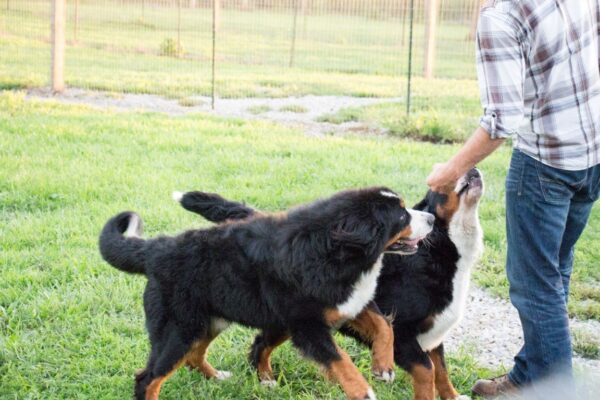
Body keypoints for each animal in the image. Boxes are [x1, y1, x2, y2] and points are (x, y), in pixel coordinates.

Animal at [101, 188, 434, 400]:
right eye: (402, 216)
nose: (431, 219)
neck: (334, 251)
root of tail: (156, 248)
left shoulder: (348, 303)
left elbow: (384, 326)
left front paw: (383, 366)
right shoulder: (309, 326)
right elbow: (342, 363)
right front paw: (363, 390)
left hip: (215, 320)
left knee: (198, 355)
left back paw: (228, 377)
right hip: (178, 330)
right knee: (148, 379)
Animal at [177, 168, 482, 400]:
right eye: (401, 216)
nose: (474, 169)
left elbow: (436, 367)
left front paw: (451, 395)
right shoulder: (405, 333)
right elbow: (427, 369)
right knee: (259, 343)